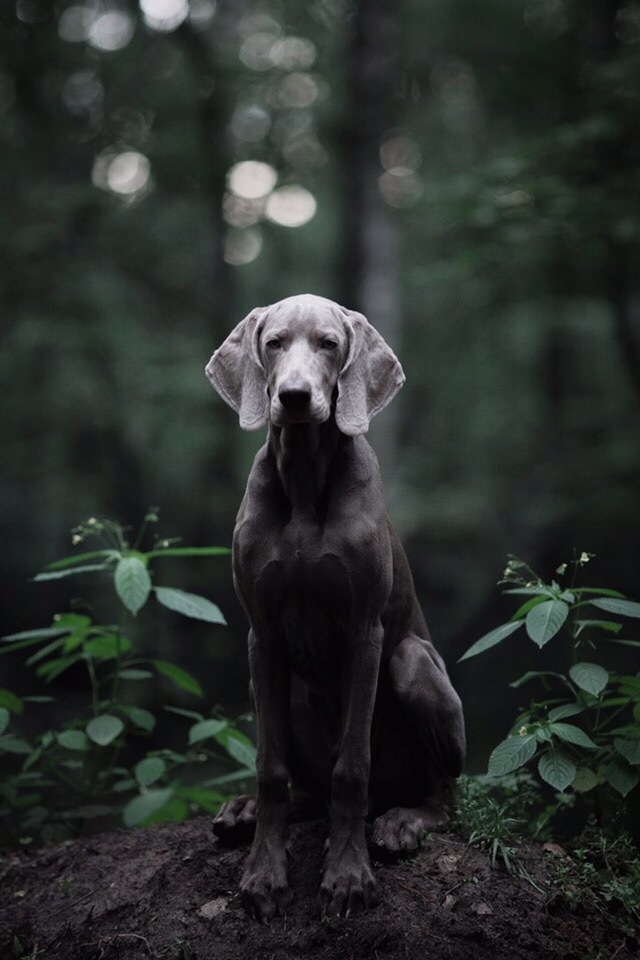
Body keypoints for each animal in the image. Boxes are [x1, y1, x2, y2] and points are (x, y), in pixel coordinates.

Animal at [205, 294, 464, 924]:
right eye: (273, 343)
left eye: (329, 344)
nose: (295, 397)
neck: (303, 481)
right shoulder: (262, 635)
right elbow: (269, 767)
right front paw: (263, 873)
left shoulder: (365, 632)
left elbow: (352, 769)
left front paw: (347, 877)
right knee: (305, 791)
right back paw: (245, 812)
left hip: (411, 665)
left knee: (440, 794)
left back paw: (403, 821)